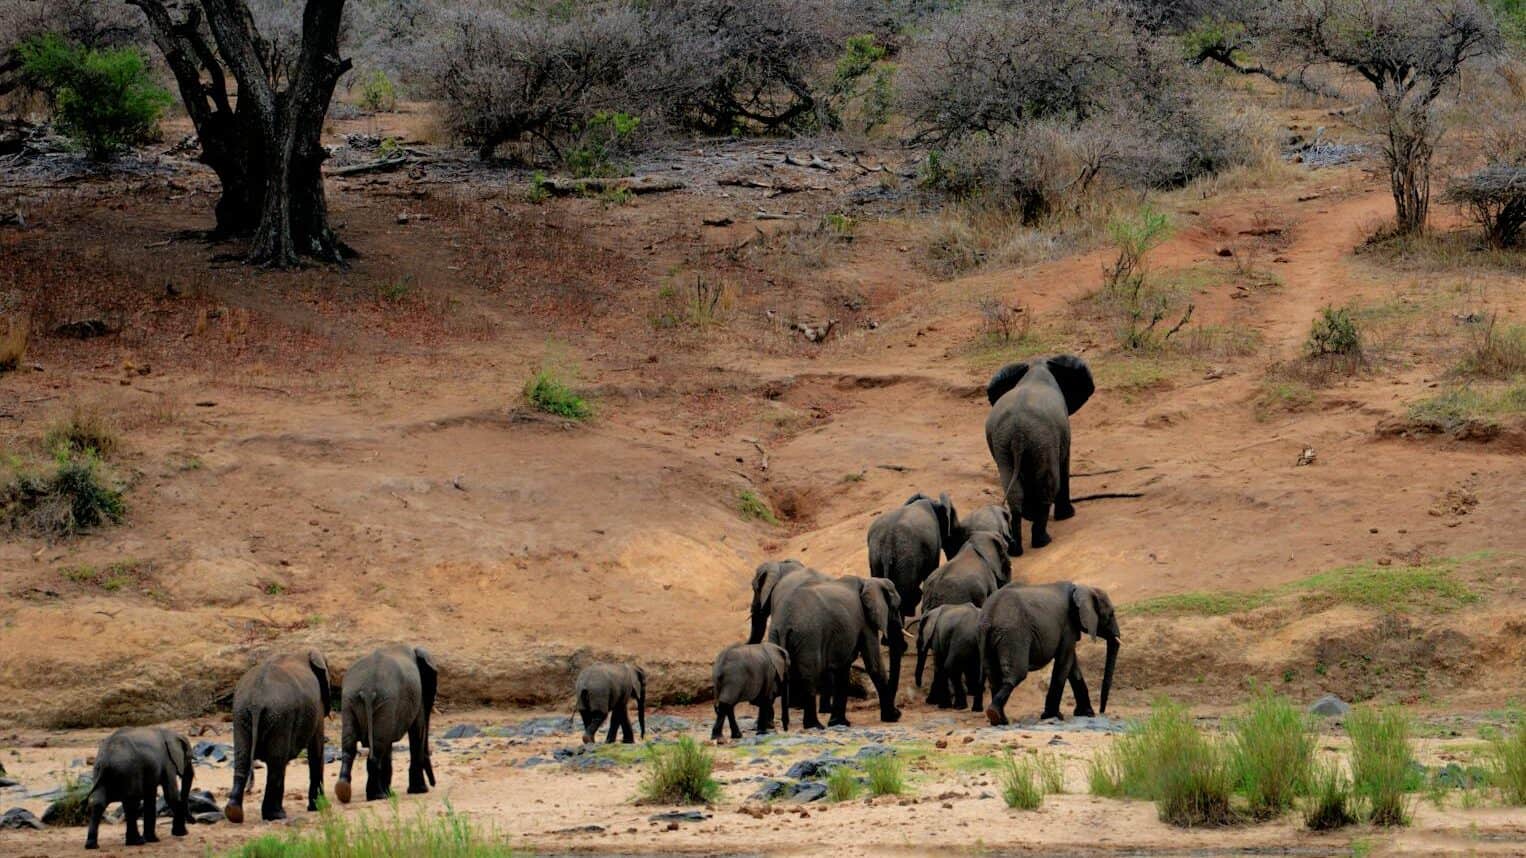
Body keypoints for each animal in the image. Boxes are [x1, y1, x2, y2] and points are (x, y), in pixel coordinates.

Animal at [225, 650, 332, 824]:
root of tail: (256, 702)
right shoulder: (318, 705)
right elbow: (316, 749)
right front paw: (320, 807)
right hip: (280, 716)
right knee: (277, 762)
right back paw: (276, 815)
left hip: (241, 714)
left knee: (243, 758)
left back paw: (233, 813)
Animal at [335, 644, 438, 804]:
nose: (433, 784)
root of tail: (367, 689)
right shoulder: (417, 698)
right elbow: (417, 731)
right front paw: (419, 790)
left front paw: (391, 793)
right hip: (383, 701)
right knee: (377, 748)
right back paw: (377, 796)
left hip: (349, 701)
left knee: (350, 746)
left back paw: (343, 791)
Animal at [768, 575, 903, 729]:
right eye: (896, 607)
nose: (897, 712)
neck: (869, 581)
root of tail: (785, 624)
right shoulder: (865, 622)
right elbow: (874, 665)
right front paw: (893, 717)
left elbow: (843, 670)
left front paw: (839, 723)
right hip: (809, 637)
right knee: (810, 676)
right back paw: (815, 726)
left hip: (775, 635)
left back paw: (768, 726)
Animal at [978, 582, 1120, 726]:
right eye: (1111, 614)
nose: (1102, 712)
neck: (1083, 588)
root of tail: (990, 614)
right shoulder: (1067, 625)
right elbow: (1064, 662)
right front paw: (1053, 716)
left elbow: (1072, 666)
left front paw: (1086, 714)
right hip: (1014, 634)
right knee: (1016, 674)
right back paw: (996, 716)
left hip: (989, 636)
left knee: (993, 675)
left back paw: (999, 720)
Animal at [984, 355, 1094, 554]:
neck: (1037, 366)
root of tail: (1018, 433)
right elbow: (1064, 463)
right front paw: (1068, 515)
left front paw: (1030, 514)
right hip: (1042, 439)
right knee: (1049, 484)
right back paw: (1043, 541)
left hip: (1003, 443)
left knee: (1013, 489)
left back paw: (1016, 549)